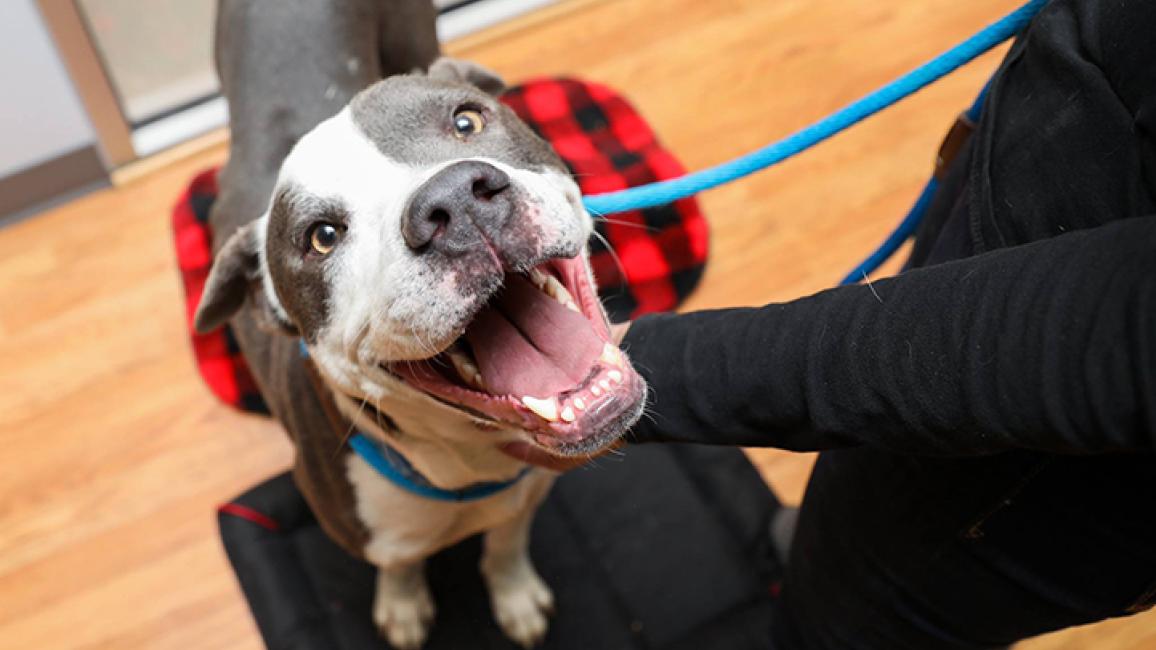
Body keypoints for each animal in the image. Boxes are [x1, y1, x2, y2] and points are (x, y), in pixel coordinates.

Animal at [201, 1, 651, 647]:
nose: (455, 199)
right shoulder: (371, 532)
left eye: (466, 121)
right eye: (322, 236)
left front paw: (513, 591)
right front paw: (404, 604)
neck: (469, 459)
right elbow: (400, 562)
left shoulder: (530, 491)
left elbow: (506, 539)